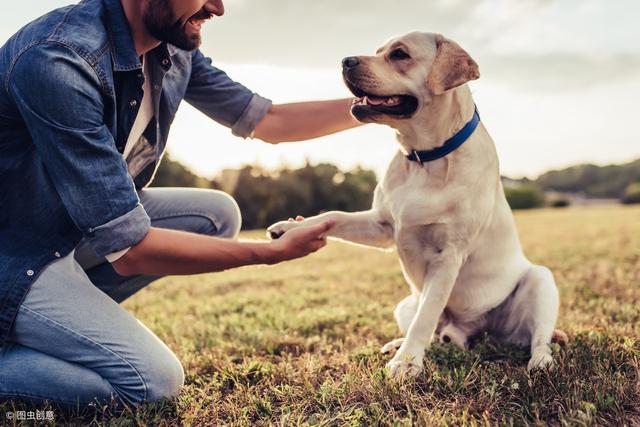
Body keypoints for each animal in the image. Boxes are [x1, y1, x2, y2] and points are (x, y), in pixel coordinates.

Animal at [268, 30, 564, 378]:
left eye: (399, 54)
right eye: (378, 51)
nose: (345, 61)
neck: (424, 159)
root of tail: (474, 331)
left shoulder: (448, 255)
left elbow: (426, 316)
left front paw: (406, 363)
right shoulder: (382, 225)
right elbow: (334, 214)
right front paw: (290, 228)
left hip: (540, 280)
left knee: (537, 337)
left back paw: (541, 361)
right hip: (405, 304)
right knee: (438, 333)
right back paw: (405, 342)